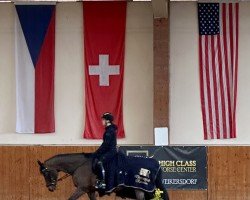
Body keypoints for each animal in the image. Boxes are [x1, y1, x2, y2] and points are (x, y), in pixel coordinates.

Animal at [37, 152, 170, 199]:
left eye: (46, 173)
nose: (50, 188)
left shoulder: (81, 189)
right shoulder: (90, 190)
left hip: (139, 189)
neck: (80, 165)